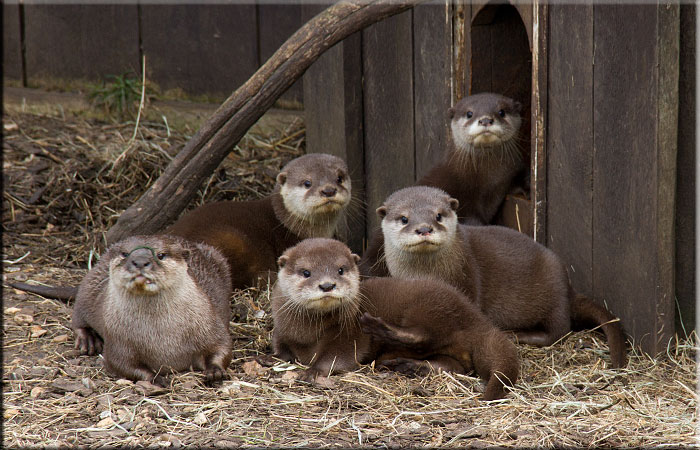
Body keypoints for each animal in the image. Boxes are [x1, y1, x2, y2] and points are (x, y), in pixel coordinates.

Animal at [72, 235, 233, 385]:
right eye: (125, 253)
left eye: (161, 255)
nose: (140, 261)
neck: (163, 338)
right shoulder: (118, 342)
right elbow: (121, 364)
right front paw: (155, 378)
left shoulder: (210, 326)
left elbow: (223, 347)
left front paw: (215, 371)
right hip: (89, 286)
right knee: (78, 316)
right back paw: (88, 340)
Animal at [270, 238, 519, 400]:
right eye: (306, 272)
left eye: (340, 270)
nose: (327, 285)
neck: (306, 332)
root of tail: (477, 318)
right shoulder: (281, 328)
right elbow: (279, 347)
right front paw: (271, 358)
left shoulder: (347, 334)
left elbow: (336, 357)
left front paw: (311, 371)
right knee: (452, 364)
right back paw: (408, 366)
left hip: (429, 306)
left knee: (423, 336)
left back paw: (381, 329)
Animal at [375, 186, 627, 368]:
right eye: (404, 218)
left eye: (438, 215)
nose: (424, 229)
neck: (426, 272)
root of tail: (569, 289)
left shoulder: (468, 277)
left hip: (554, 297)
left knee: (558, 331)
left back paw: (517, 335)